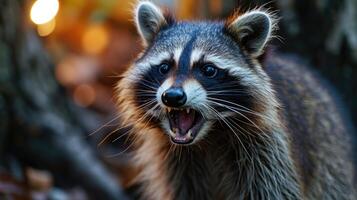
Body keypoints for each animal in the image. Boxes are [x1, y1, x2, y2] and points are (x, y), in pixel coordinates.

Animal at [115, 1, 354, 200]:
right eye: (164, 67)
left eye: (208, 70)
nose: (173, 96)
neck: (208, 137)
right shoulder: (174, 162)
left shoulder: (268, 153)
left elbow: (276, 192)